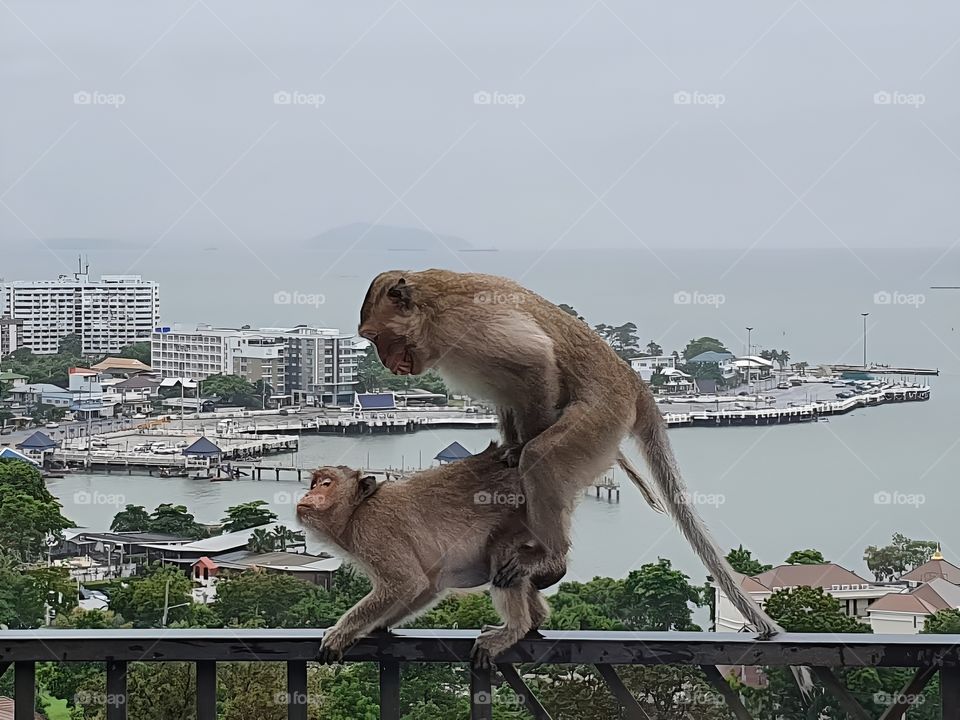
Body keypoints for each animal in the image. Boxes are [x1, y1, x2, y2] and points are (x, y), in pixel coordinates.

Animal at [295, 441, 566, 668]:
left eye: (327, 483)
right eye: (314, 483)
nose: (307, 494)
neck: (357, 511)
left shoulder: (374, 529)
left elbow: (407, 582)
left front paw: (340, 634)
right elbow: (427, 585)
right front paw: (377, 625)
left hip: (525, 520)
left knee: (502, 554)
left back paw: (515, 629)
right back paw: (535, 620)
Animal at [358, 269, 784, 641]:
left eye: (377, 336)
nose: (385, 361)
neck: (429, 310)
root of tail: (633, 382)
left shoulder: (467, 322)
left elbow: (535, 363)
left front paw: (519, 449)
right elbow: (508, 391)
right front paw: (508, 448)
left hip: (600, 420)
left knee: (543, 459)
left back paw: (552, 556)